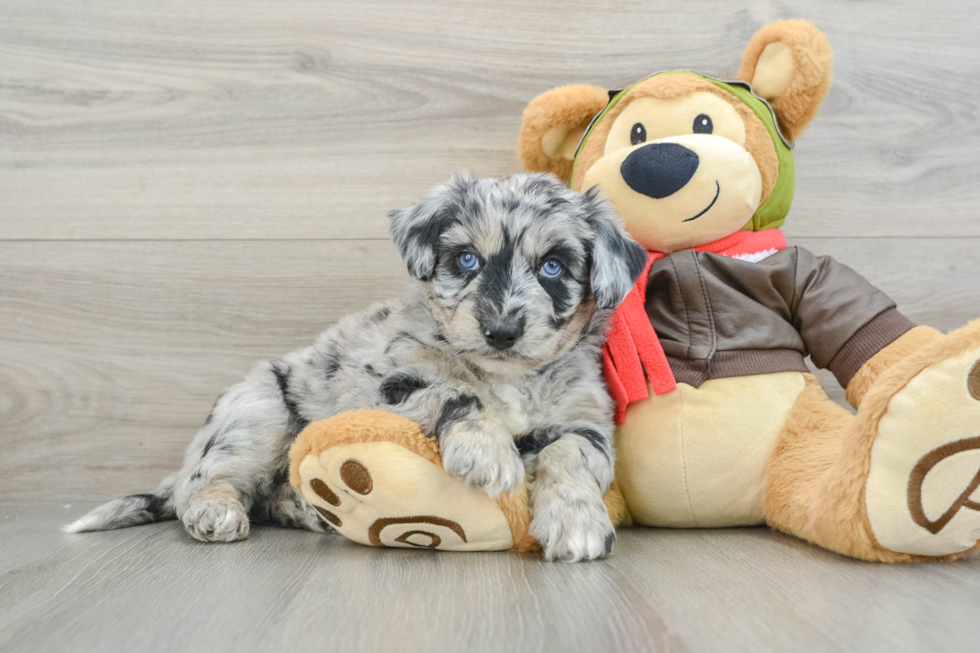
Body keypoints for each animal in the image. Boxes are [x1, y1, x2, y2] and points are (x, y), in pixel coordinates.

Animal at [69, 172, 652, 560]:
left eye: (553, 266)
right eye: (466, 259)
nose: (502, 331)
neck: (504, 375)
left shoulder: (586, 420)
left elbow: (569, 455)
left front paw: (576, 522)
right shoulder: (396, 377)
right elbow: (456, 392)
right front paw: (489, 452)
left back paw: (307, 509)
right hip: (255, 415)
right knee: (210, 482)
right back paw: (218, 513)